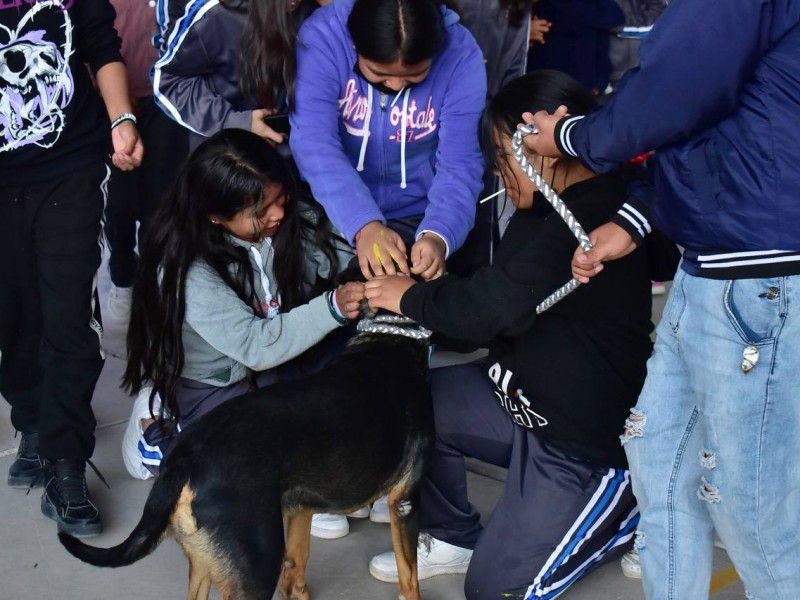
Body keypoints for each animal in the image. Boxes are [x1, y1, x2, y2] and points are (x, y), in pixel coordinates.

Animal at [57, 314, 432, 600]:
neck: (388, 339)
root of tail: (184, 461)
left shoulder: (301, 509)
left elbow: (297, 569)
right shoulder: (405, 501)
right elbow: (409, 577)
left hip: (204, 563)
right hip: (256, 567)